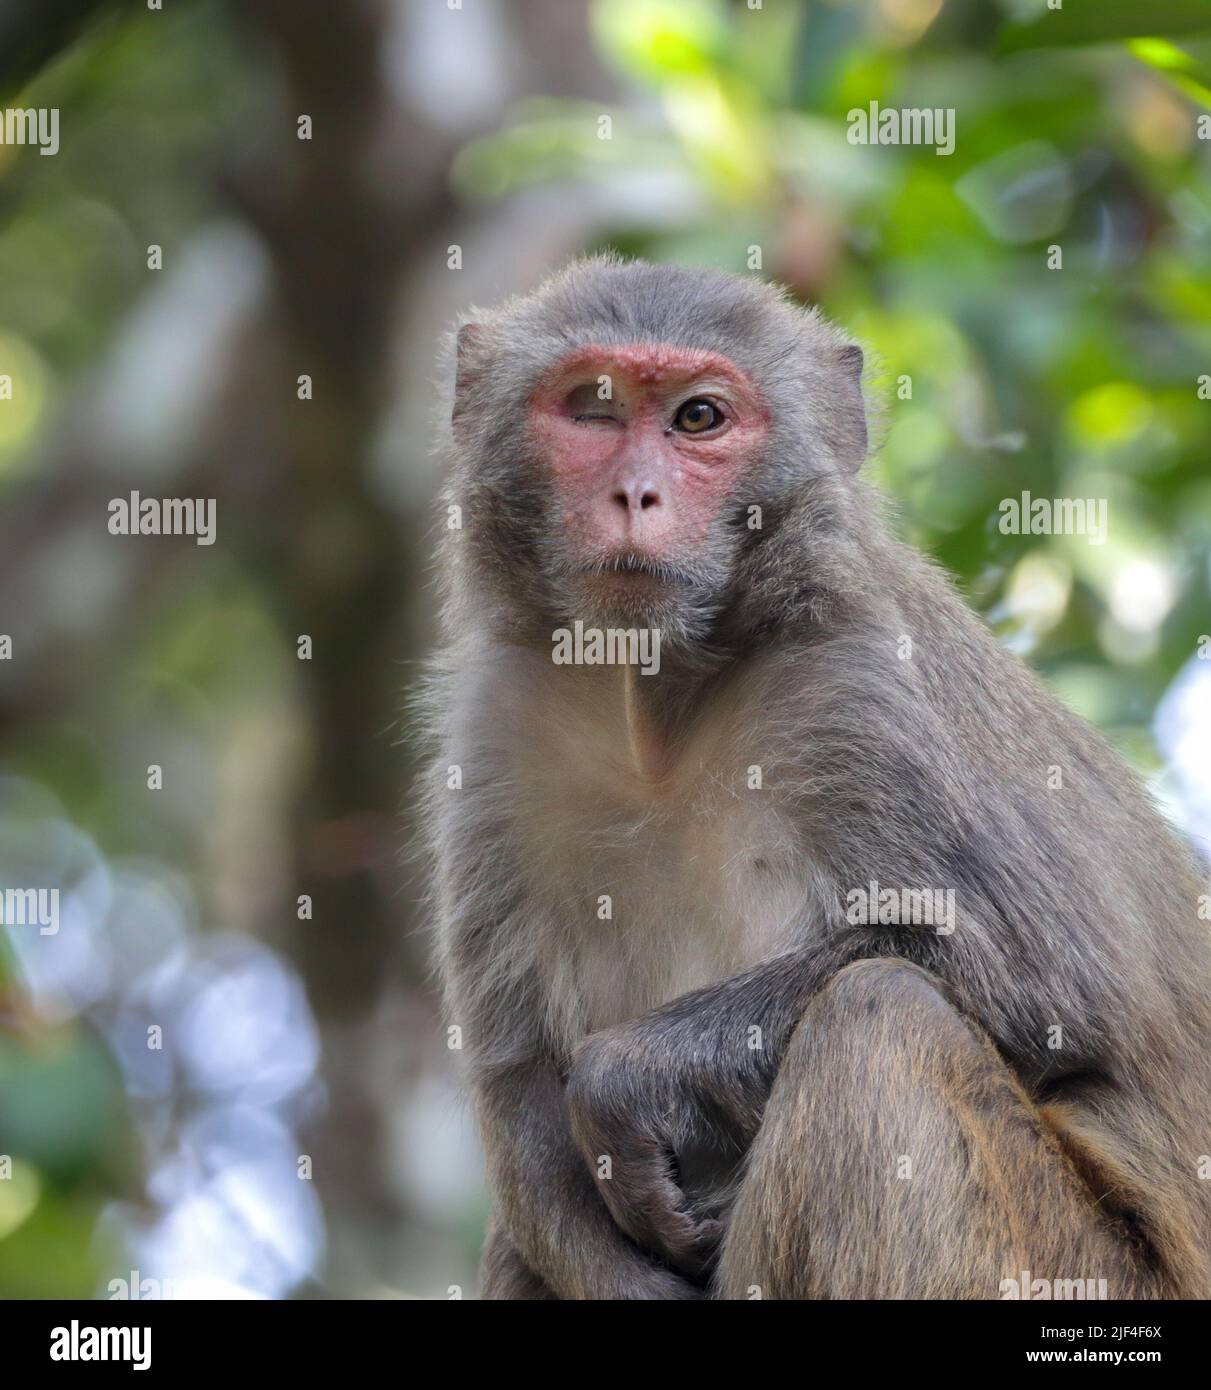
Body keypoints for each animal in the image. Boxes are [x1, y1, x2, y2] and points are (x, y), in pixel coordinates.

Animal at [419, 252, 1211, 1301]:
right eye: (592, 408)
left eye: (698, 419)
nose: (634, 495)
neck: (658, 705)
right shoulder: (500, 726)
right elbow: (517, 1095)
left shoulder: (862, 687)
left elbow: (1050, 982)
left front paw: (624, 1079)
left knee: (874, 1020)